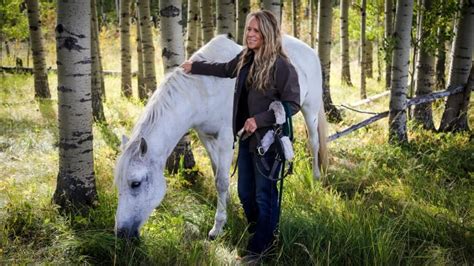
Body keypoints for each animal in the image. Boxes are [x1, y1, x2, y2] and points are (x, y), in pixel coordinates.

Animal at [115, 34, 328, 239]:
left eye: (135, 183)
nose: (121, 233)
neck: (203, 89)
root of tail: (310, 51)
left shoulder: (226, 139)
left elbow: (222, 181)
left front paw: (217, 227)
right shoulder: (206, 137)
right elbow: (217, 172)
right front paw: (228, 204)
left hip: (310, 110)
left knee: (314, 143)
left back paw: (316, 179)